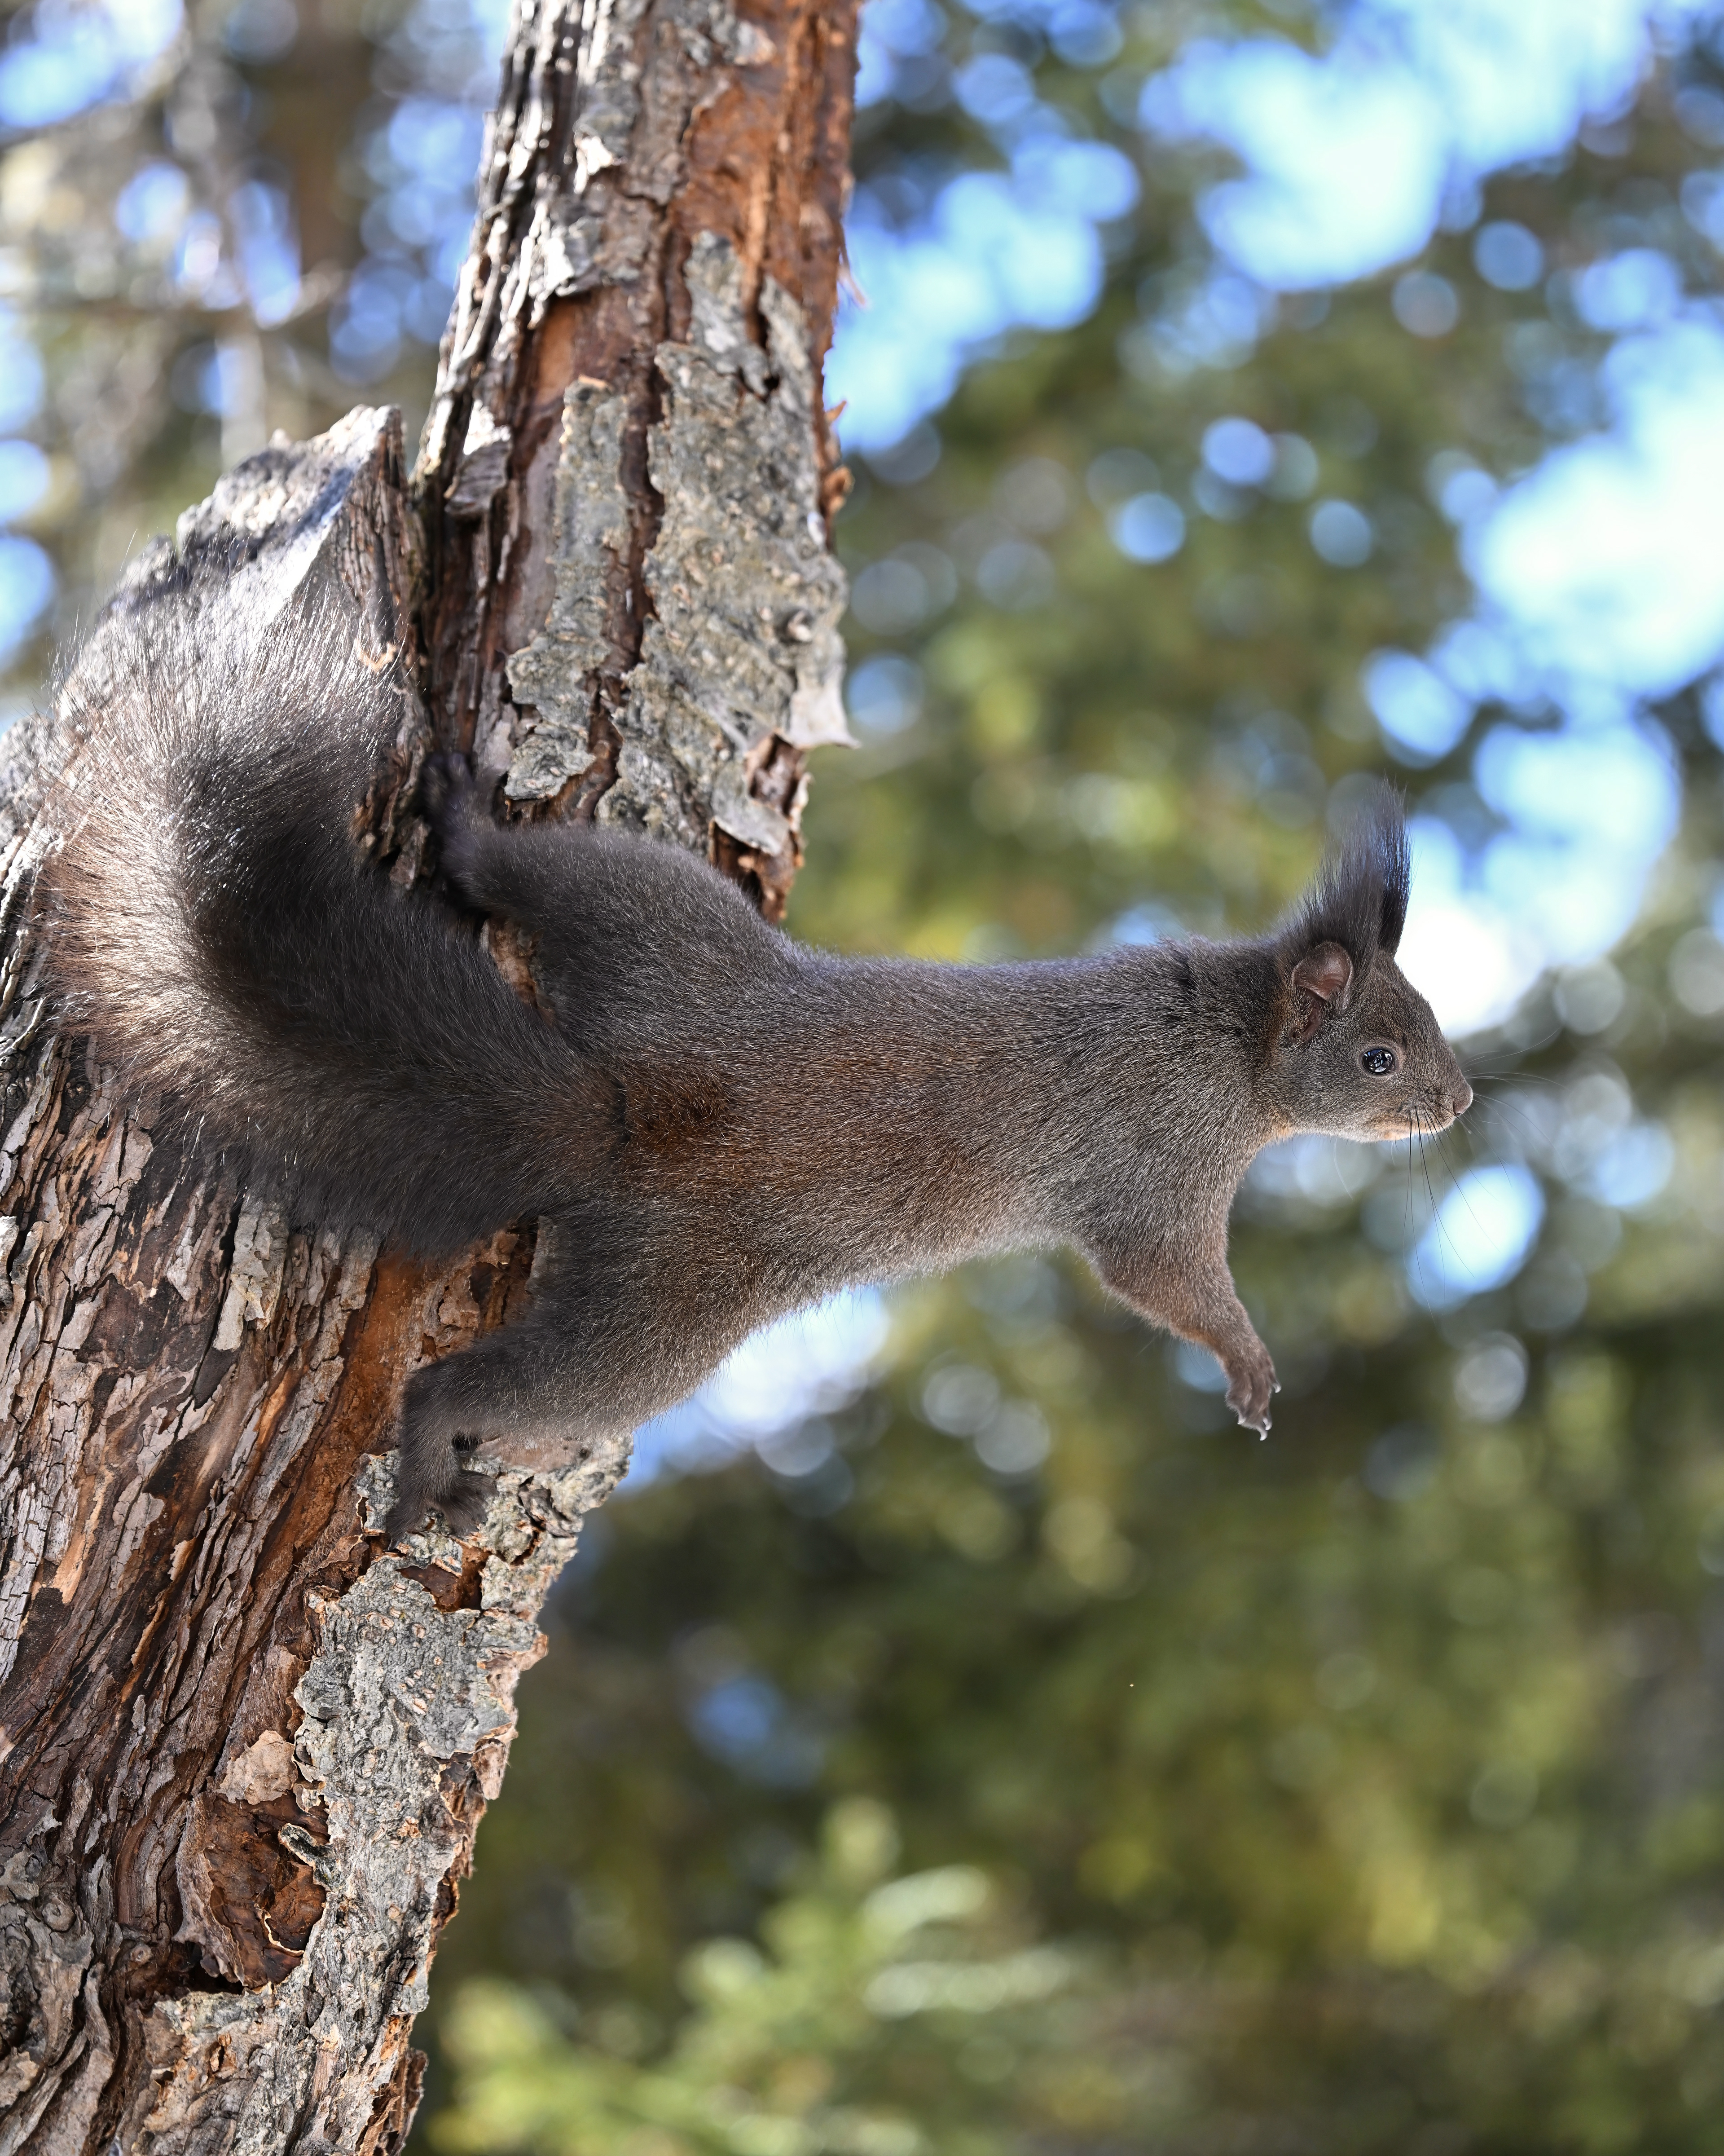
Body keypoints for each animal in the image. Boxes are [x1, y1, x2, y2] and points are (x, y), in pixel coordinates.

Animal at [36, 556, 1471, 1542]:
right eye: (1381, 1057)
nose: (1459, 1100)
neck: (1227, 1043)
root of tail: (620, 1111)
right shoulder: (1159, 1174)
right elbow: (1170, 1282)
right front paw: (1248, 1365)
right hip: (658, 1318)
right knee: (493, 1384)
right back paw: (435, 1459)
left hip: (649, 920)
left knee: (525, 877)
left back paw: (461, 826)